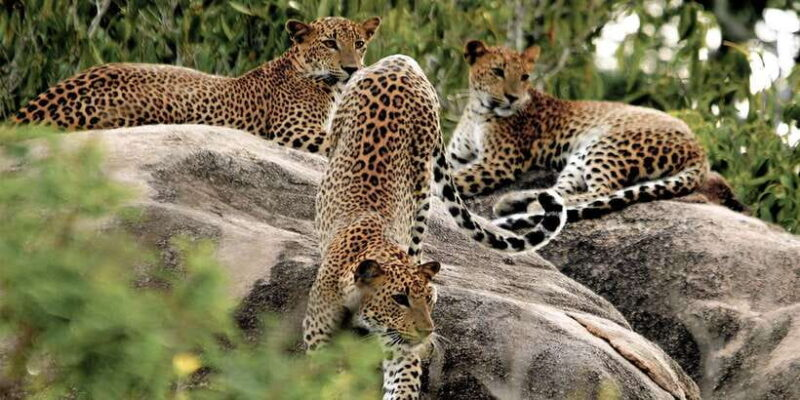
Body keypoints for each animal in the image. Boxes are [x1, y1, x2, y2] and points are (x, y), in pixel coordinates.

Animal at [306, 54, 566, 400]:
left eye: (429, 300)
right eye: (400, 299)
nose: (427, 331)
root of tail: (401, 60)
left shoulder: (400, 348)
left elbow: (402, 382)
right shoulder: (317, 336)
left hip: (422, 188)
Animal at [446, 40, 710, 231]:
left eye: (524, 77)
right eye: (497, 71)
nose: (513, 98)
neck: (477, 110)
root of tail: (700, 149)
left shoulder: (498, 162)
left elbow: (456, 179)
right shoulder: (455, 155)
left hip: (606, 145)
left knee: (602, 191)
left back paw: (530, 206)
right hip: (581, 155)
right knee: (559, 190)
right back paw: (513, 201)